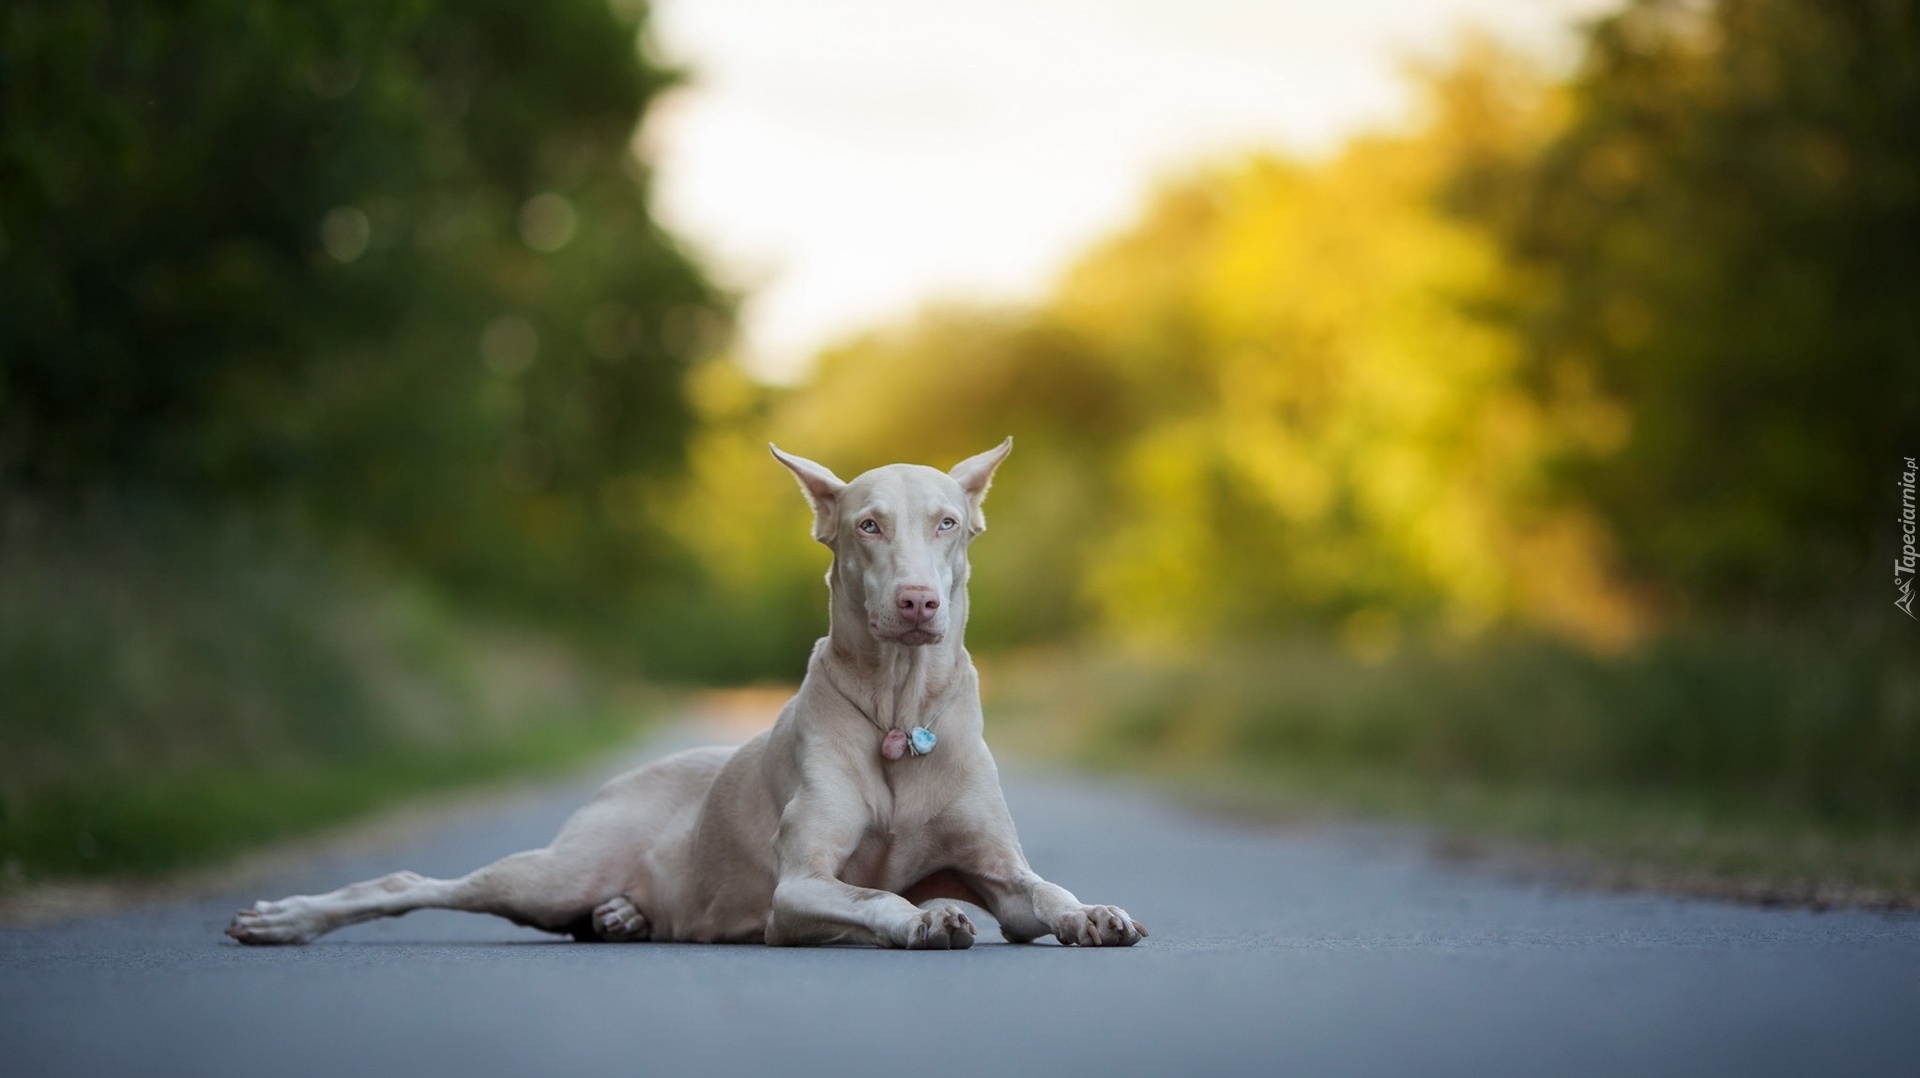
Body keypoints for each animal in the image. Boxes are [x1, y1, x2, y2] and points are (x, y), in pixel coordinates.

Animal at [230, 438, 1144, 941]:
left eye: (948, 523)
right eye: (868, 525)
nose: (919, 604)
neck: (900, 713)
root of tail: (627, 775)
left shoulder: (998, 871)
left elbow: (1042, 894)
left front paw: (1093, 913)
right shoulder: (798, 887)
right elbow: (874, 893)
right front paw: (922, 918)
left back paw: (625, 918)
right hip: (553, 873)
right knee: (412, 886)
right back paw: (282, 920)